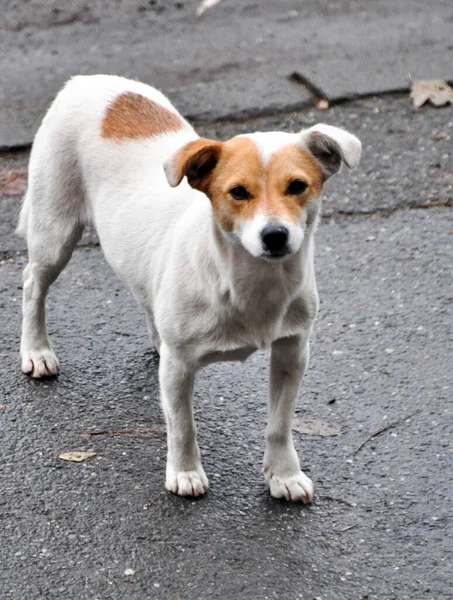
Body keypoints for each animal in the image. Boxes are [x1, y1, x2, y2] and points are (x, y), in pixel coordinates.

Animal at [18, 77, 360, 504]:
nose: (275, 235)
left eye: (298, 186)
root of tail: (86, 80)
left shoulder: (292, 352)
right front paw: (185, 472)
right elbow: (182, 426)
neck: (248, 281)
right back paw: (36, 350)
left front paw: (284, 474)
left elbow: (280, 424)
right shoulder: (179, 367)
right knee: (33, 285)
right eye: (238, 192)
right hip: (55, 232)